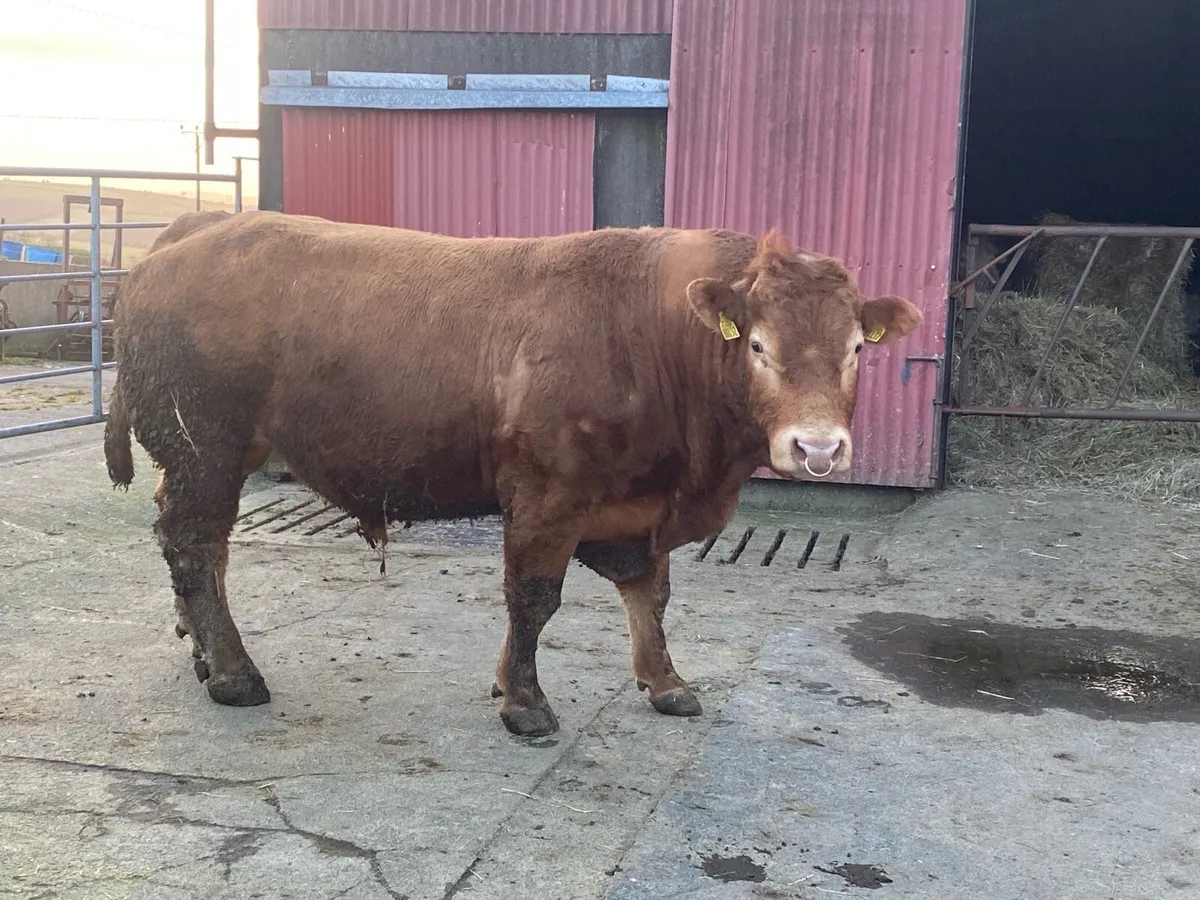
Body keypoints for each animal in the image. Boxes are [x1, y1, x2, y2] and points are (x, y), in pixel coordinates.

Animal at [104, 212, 922, 736]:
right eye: (756, 345)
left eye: (856, 348)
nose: (817, 449)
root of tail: (191, 232)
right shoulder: (547, 496)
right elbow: (533, 598)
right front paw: (525, 701)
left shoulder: (635, 504)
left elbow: (650, 594)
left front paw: (665, 683)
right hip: (205, 445)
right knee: (194, 543)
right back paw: (234, 673)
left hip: (212, 457)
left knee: (196, 546)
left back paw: (201, 650)